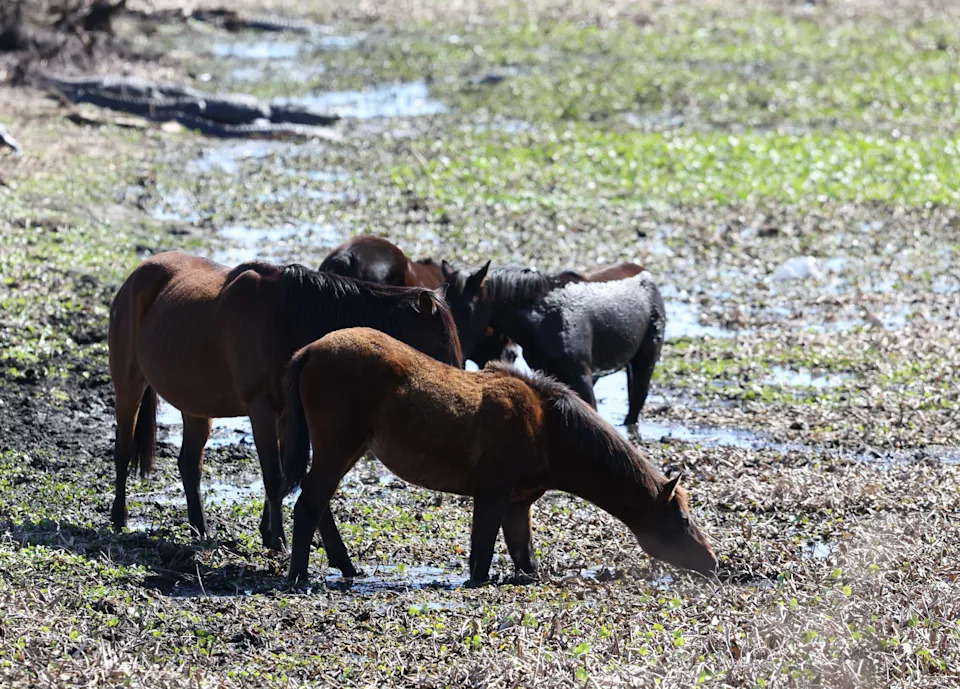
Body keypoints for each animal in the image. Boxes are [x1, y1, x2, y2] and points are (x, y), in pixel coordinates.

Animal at [108, 251, 462, 557]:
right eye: (441, 341)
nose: (456, 384)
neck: (288, 317)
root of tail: (136, 277)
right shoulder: (261, 409)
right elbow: (273, 475)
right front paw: (278, 539)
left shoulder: (285, 414)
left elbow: (277, 474)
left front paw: (268, 534)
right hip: (128, 386)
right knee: (123, 449)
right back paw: (119, 518)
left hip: (195, 405)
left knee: (189, 465)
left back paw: (199, 529)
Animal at [282, 327, 717, 586]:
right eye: (681, 518)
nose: (712, 562)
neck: (548, 428)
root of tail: (310, 350)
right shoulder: (492, 495)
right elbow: (481, 557)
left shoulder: (516, 504)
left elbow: (525, 559)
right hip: (339, 446)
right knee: (309, 505)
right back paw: (299, 577)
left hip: (346, 449)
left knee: (319, 503)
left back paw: (345, 566)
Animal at [441, 263, 664, 425]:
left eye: (467, 308)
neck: (541, 320)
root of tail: (647, 274)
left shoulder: (582, 375)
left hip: (646, 359)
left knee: (636, 402)